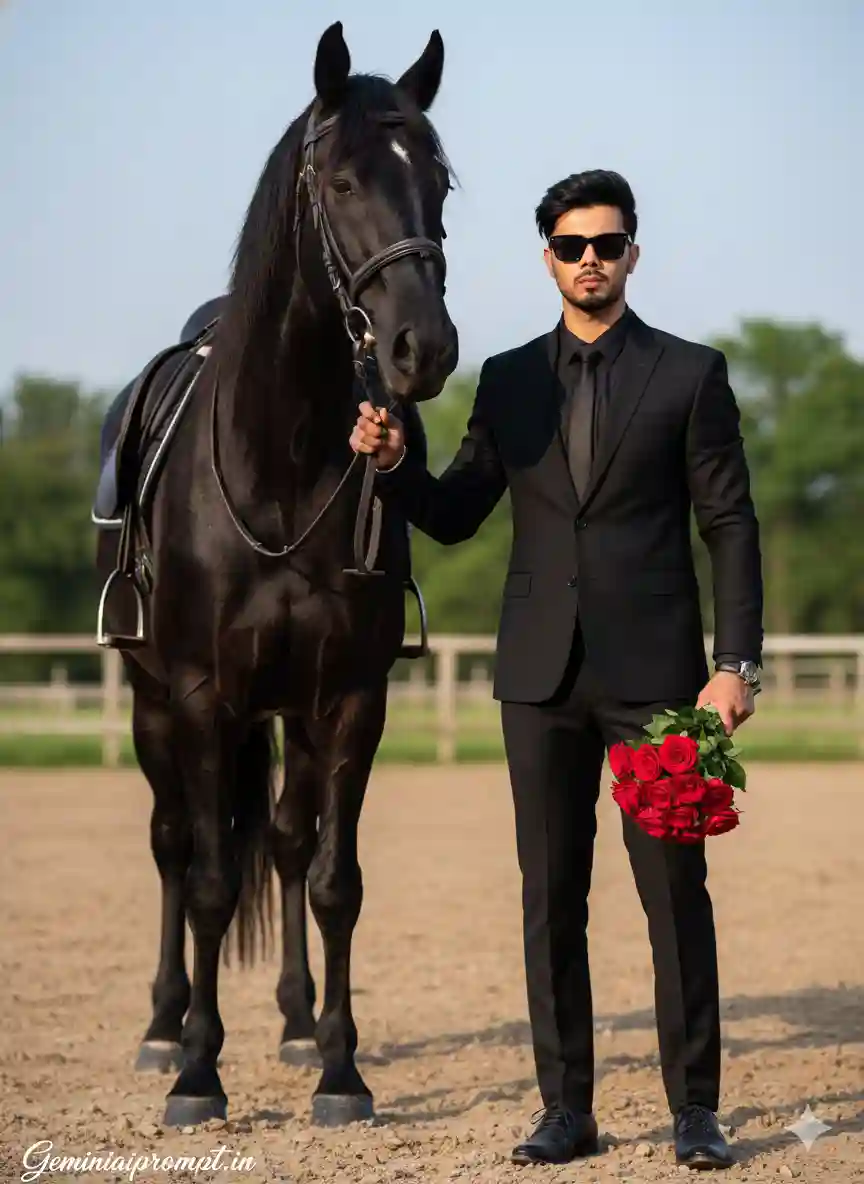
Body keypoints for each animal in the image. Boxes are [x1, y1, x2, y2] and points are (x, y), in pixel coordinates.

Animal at [94, 21, 458, 1128]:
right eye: (339, 181)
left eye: (439, 180)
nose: (425, 349)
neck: (282, 462)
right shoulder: (203, 697)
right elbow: (212, 881)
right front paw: (196, 1075)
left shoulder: (347, 699)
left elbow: (333, 876)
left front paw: (341, 1070)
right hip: (152, 703)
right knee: (176, 843)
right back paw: (162, 1024)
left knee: (291, 845)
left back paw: (296, 1025)